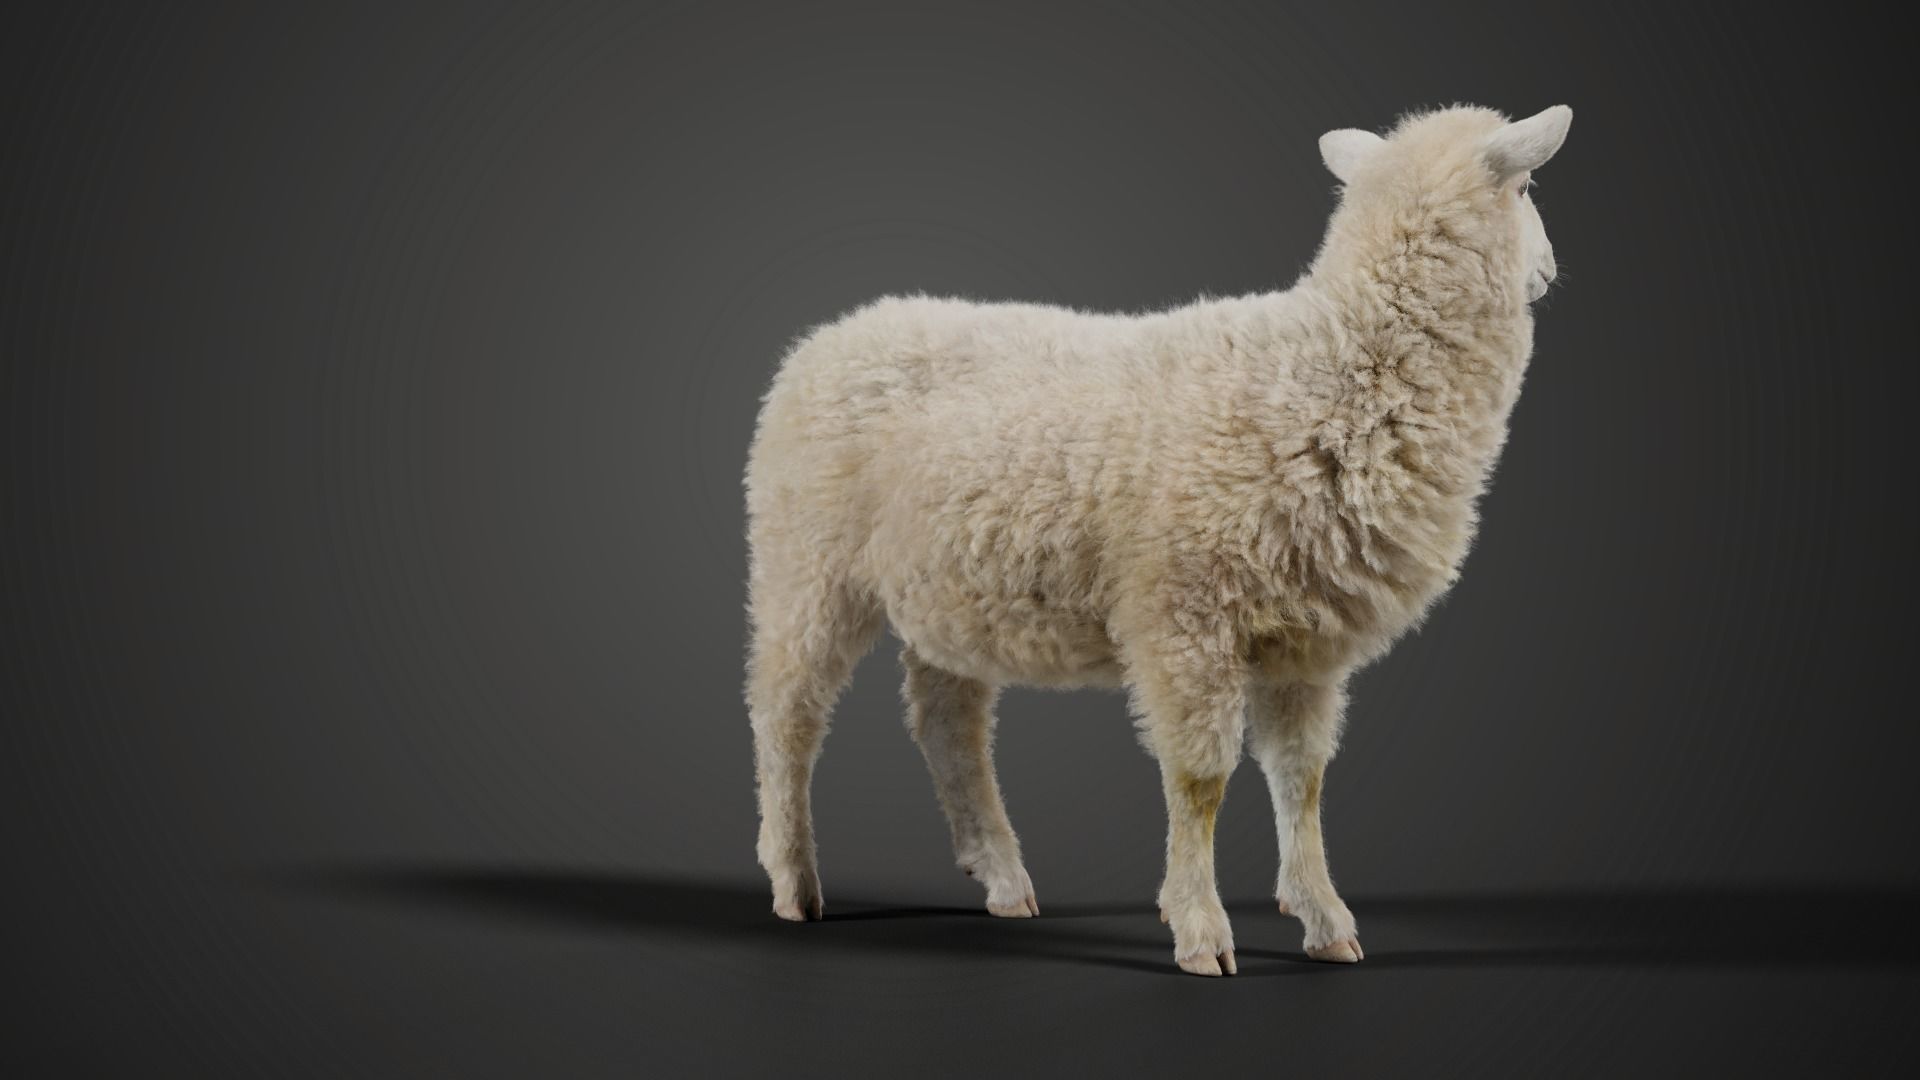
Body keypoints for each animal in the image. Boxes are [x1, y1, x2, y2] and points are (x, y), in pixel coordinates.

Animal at [743, 104, 1572, 975]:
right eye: (1528, 187)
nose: (1552, 269)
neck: (1332, 363)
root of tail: (828, 336)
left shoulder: (1304, 639)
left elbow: (1302, 779)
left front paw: (1323, 917)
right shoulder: (1185, 613)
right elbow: (1200, 780)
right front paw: (1201, 928)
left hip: (947, 587)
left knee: (947, 721)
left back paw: (1000, 871)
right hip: (806, 563)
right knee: (786, 715)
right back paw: (794, 879)